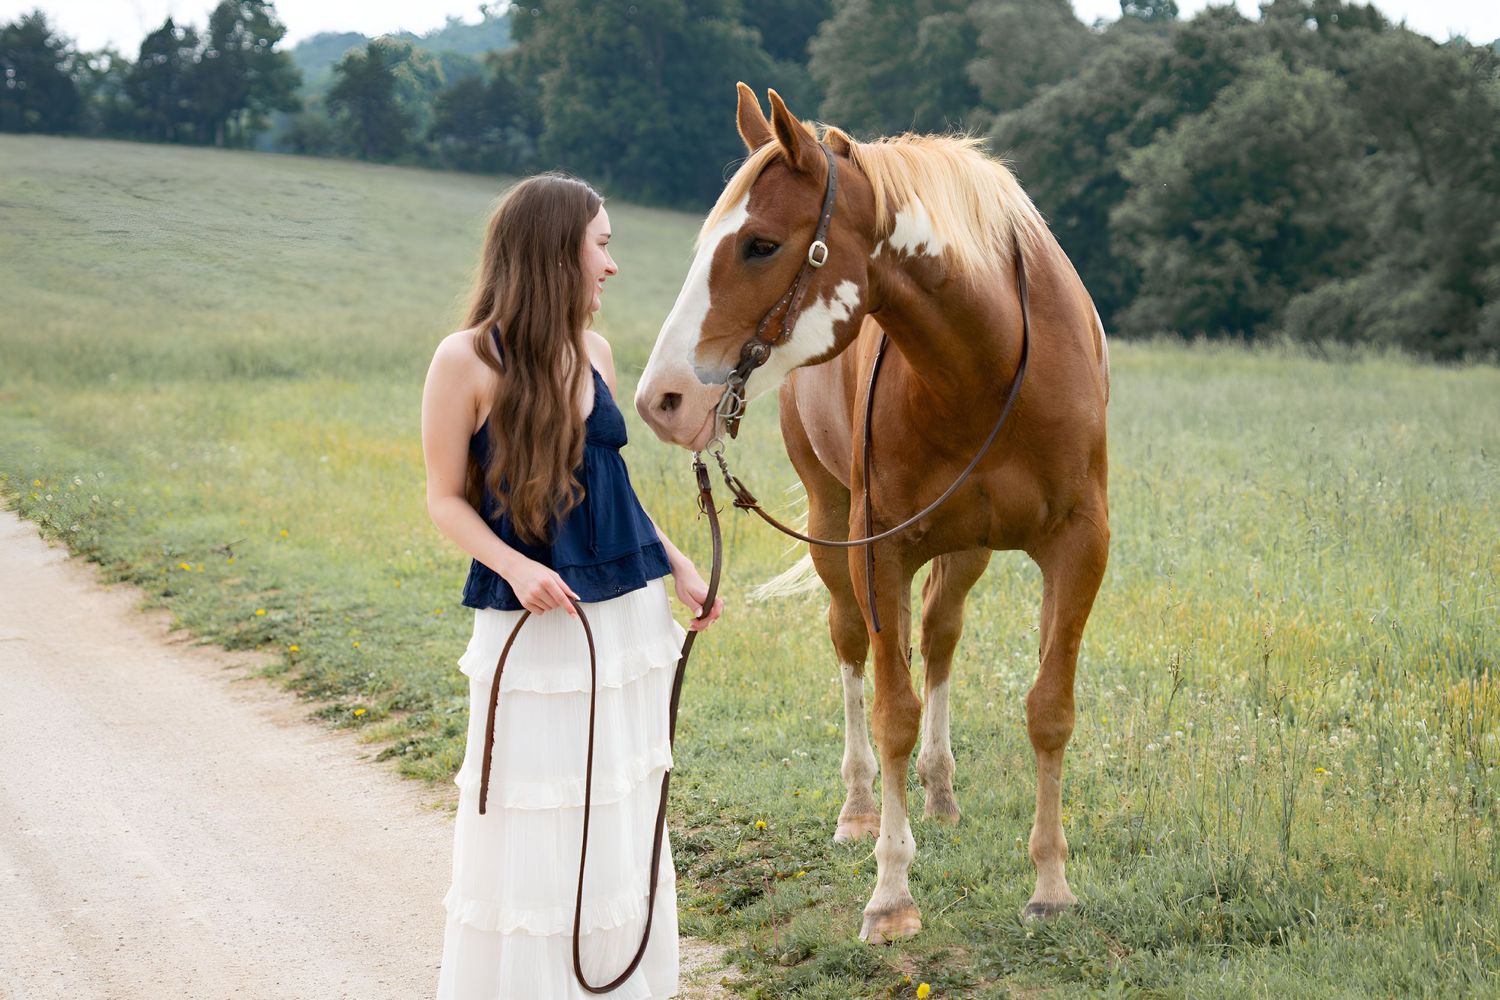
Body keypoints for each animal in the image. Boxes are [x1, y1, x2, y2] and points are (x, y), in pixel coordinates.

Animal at [635, 84, 1109, 944]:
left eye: (759, 244)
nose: (664, 398)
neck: (988, 365)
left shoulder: (1080, 546)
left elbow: (1049, 710)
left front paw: (1052, 884)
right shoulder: (877, 550)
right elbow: (892, 711)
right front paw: (892, 893)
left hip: (966, 548)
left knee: (941, 636)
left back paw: (942, 790)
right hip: (835, 530)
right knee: (852, 647)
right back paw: (859, 809)